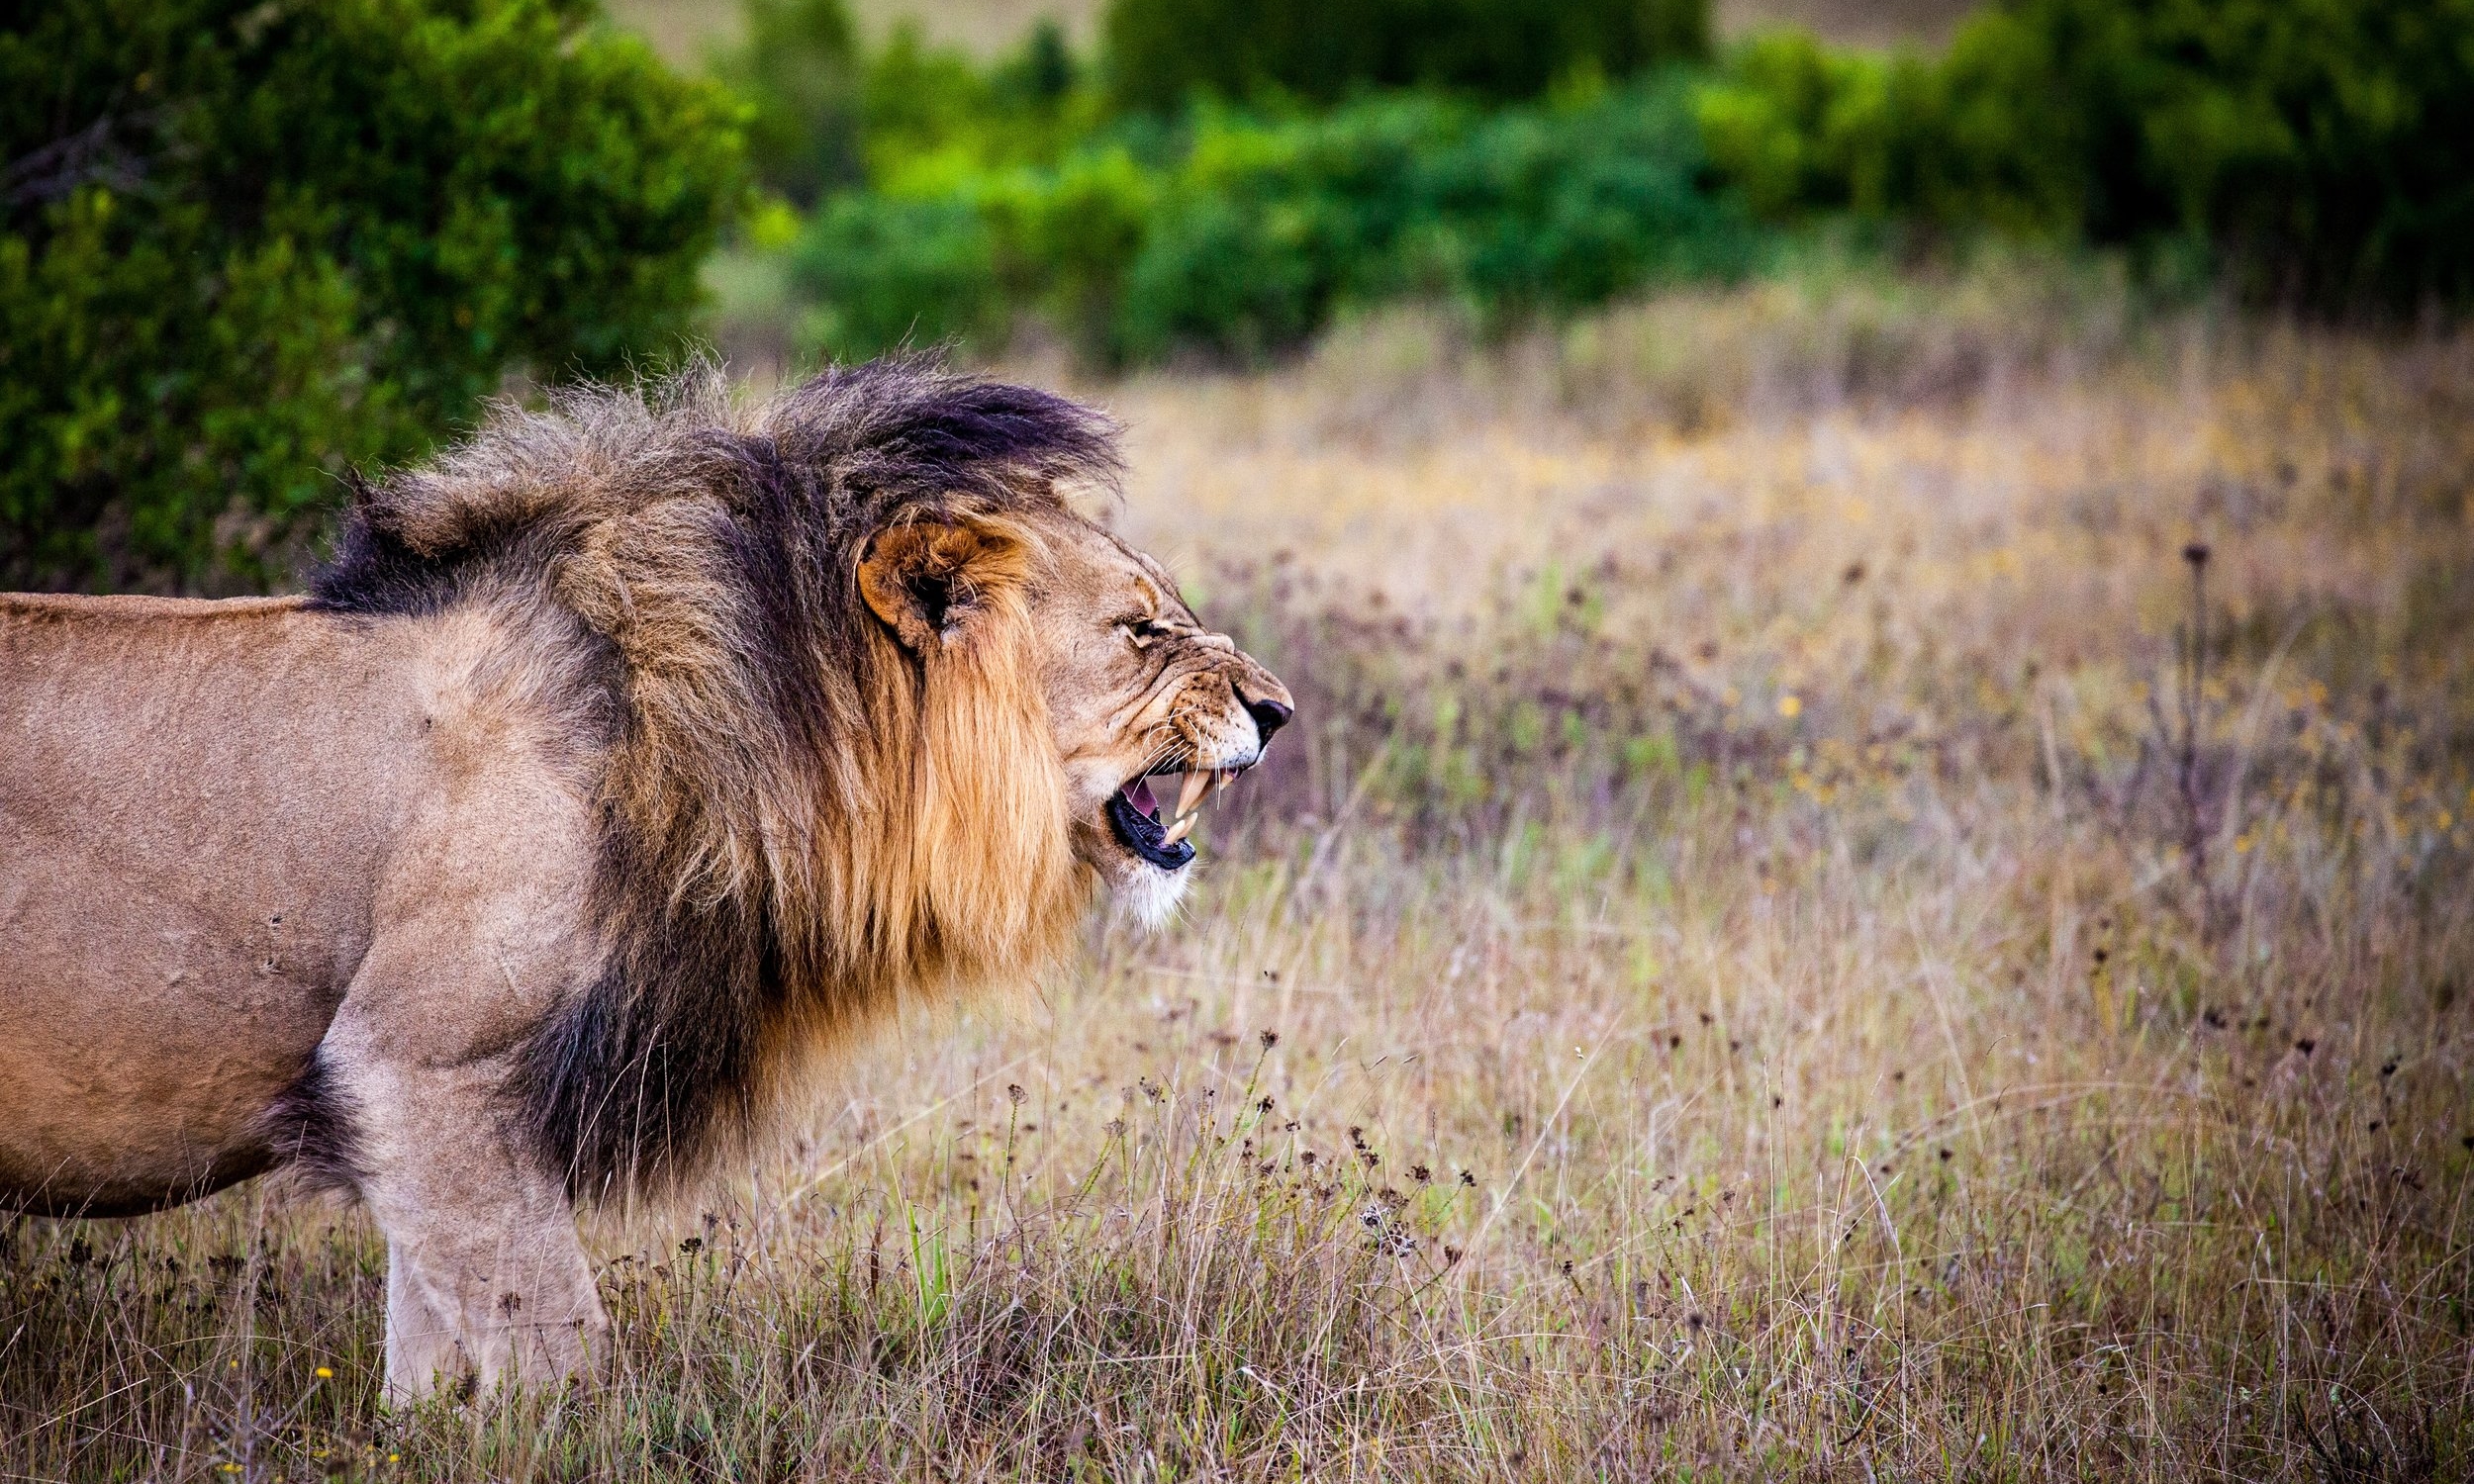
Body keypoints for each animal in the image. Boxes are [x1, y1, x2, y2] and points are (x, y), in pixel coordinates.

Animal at [0, 358, 1291, 1401]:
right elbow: (556, 1349)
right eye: (1139, 631)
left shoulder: (428, 1114)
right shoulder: (415, 1066)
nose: (1278, 710)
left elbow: (433, 1364)